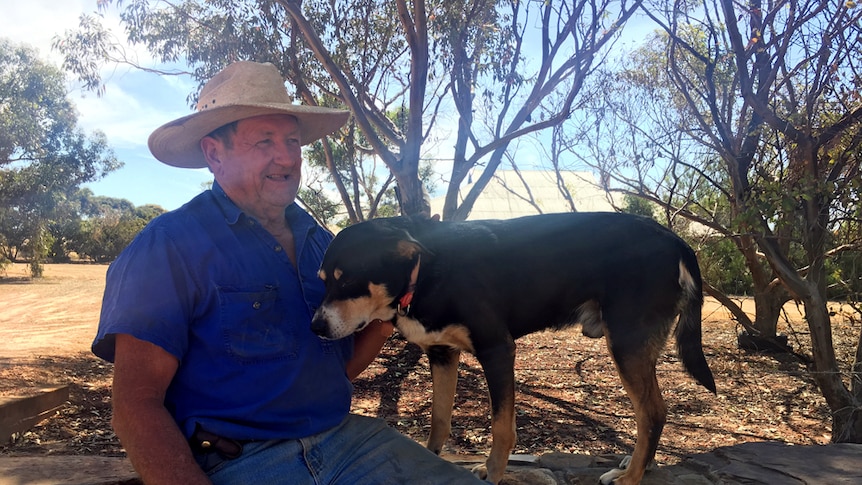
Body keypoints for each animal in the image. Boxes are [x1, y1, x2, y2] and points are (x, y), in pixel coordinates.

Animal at [314, 213, 720, 484]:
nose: (315, 326)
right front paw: (429, 456)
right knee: (655, 411)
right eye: (323, 281)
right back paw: (642, 464)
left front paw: (493, 473)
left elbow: (501, 428)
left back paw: (631, 476)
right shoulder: (442, 354)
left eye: (347, 280)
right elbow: (440, 418)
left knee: (652, 412)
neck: (424, 271)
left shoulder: (497, 350)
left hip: (625, 341)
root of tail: (674, 239)